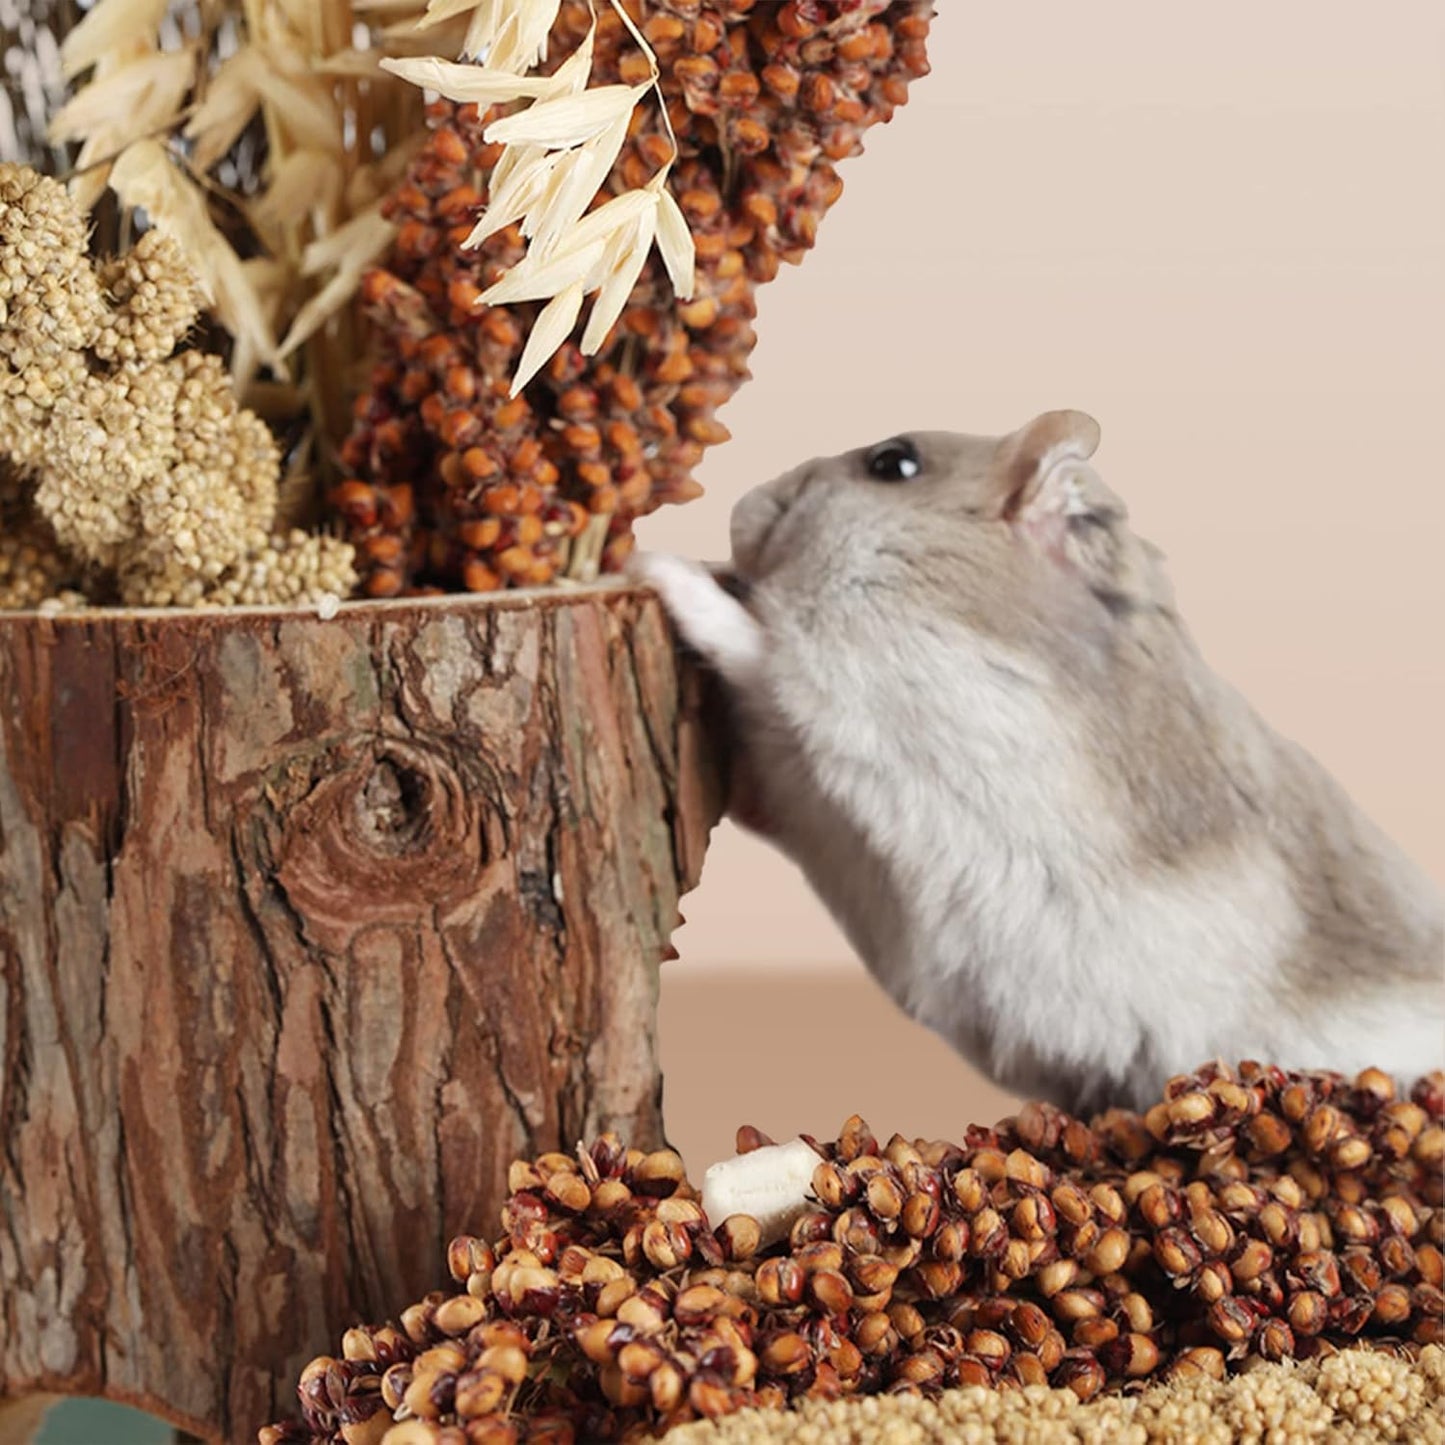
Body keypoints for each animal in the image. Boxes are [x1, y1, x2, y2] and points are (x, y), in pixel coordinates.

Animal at [630, 410, 1445, 1115]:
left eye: (892, 464)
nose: (745, 502)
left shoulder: (862, 705)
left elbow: (756, 649)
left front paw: (659, 564)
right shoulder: (804, 795)